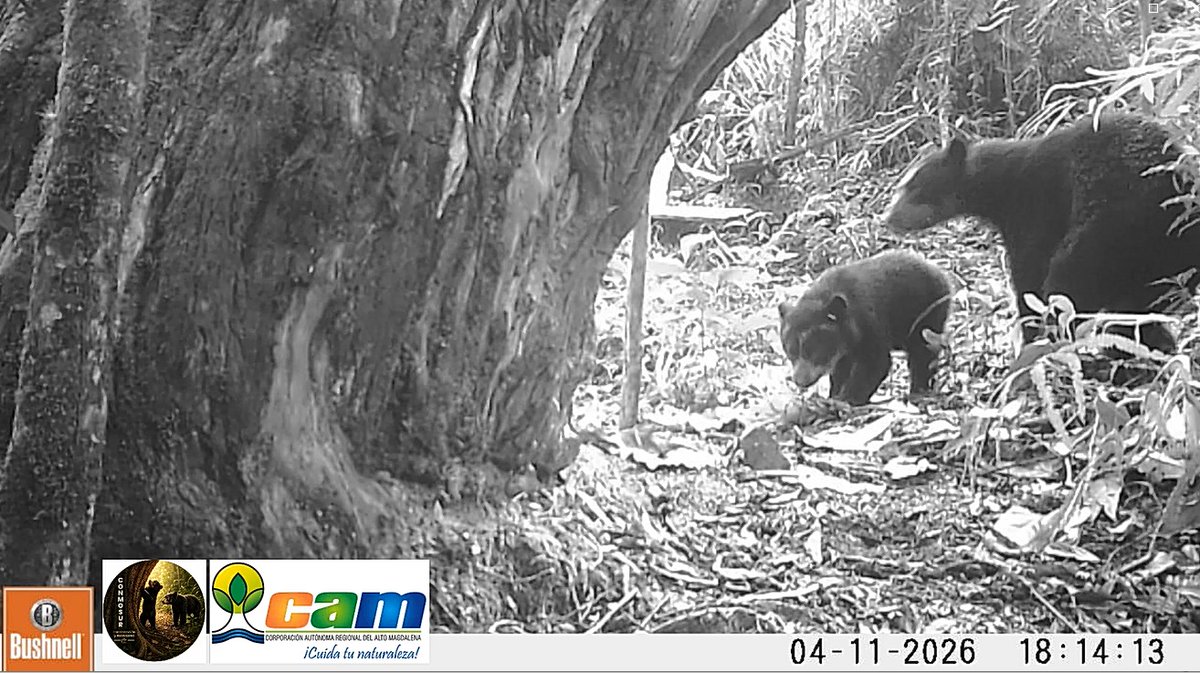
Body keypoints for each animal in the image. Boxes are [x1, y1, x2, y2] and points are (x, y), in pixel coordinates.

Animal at [778, 250, 952, 405]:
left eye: (814, 351)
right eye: (790, 351)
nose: (800, 381)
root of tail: (942, 274)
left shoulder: (869, 322)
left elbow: (876, 362)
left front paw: (847, 398)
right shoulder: (845, 347)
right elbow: (841, 369)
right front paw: (834, 393)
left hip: (926, 313)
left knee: (922, 353)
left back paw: (918, 390)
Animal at [883, 113, 1200, 354]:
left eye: (914, 186)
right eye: (901, 185)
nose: (887, 217)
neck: (1001, 184)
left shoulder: (1034, 208)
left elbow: (1030, 276)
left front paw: (1031, 336)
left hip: (1112, 222)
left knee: (1071, 279)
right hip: (1171, 248)